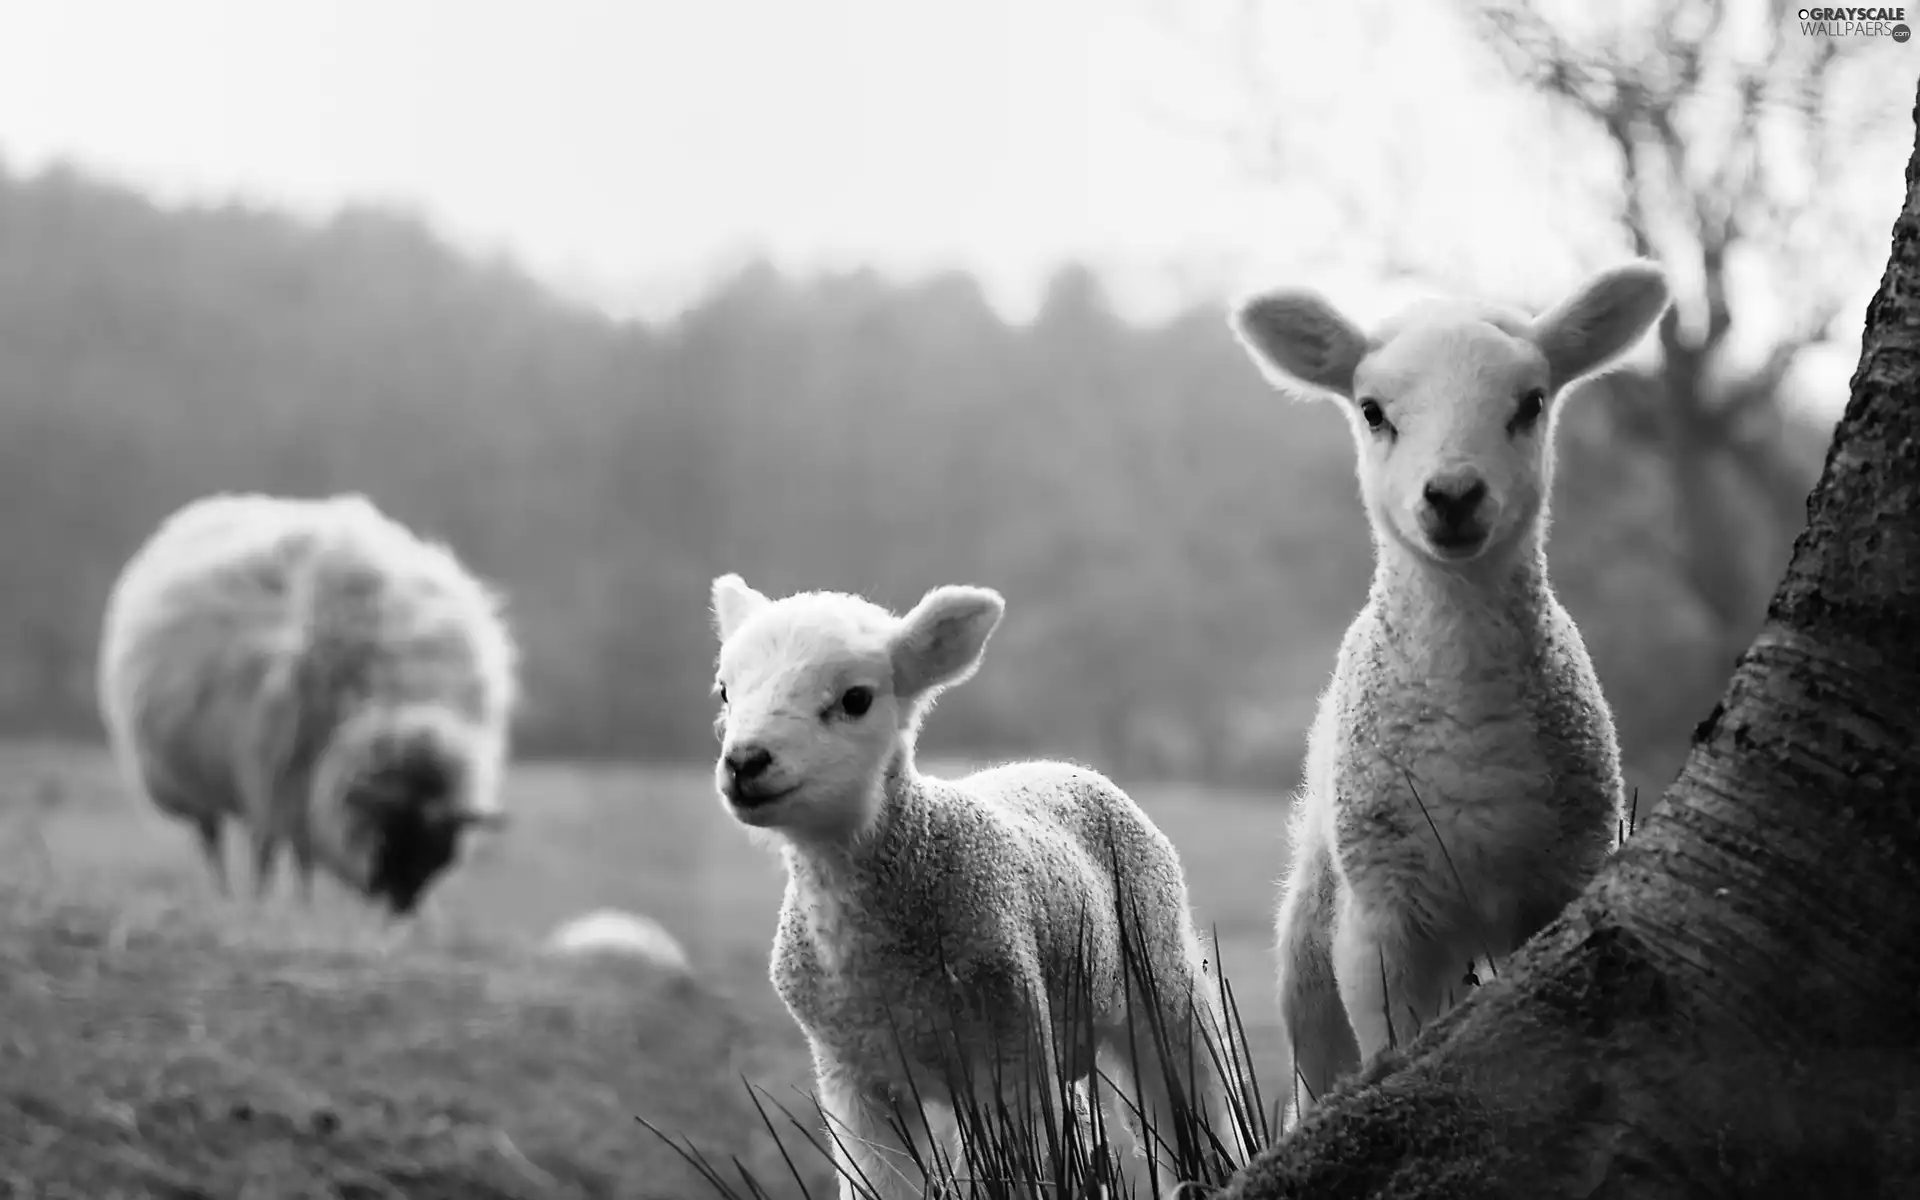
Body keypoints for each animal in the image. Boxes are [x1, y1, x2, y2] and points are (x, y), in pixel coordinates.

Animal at [96, 491, 518, 913]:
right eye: (388, 836)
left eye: (441, 853)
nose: (400, 910)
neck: (400, 707)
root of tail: (204, 510)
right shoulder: (278, 777)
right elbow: (277, 852)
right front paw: (274, 904)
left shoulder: (303, 787)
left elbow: (304, 854)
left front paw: (304, 905)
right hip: (190, 778)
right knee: (212, 838)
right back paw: (226, 894)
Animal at [710, 572, 1244, 1198]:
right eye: (725, 692)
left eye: (855, 699)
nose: (745, 762)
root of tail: (1062, 765)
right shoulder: (854, 1074)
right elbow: (879, 1179)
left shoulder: (1011, 1047)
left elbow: (1028, 1169)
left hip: (1159, 969)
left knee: (1191, 1099)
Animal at [1228, 259, 1681, 1113]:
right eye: (1372, 411)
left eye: (1530, 402)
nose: (1453, 495)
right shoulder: (1382, 916)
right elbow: (1387, 1047)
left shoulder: (1561, 881)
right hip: (1311, 930)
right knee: (1315, 1068)